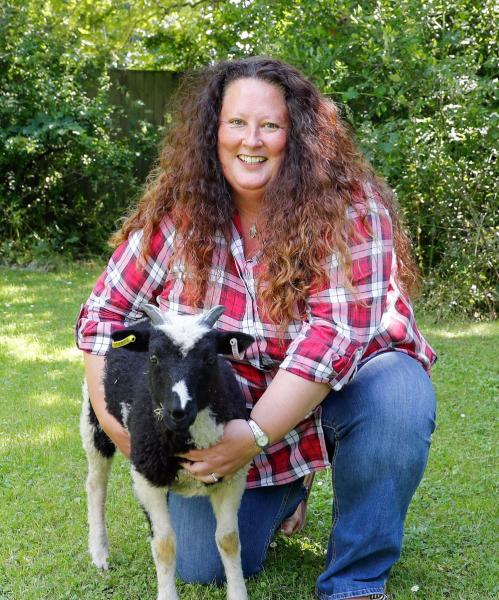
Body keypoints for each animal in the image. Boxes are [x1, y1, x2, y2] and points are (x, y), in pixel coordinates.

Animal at [81, 304, 256, 600]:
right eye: (153, 358)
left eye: (210, 359)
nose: (178, 411)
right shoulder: (146, 478)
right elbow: (164, 545)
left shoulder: (233, 476)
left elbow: (229, 539)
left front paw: (237, 593)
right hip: (94, 420)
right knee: (96, 485)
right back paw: (99, 552)